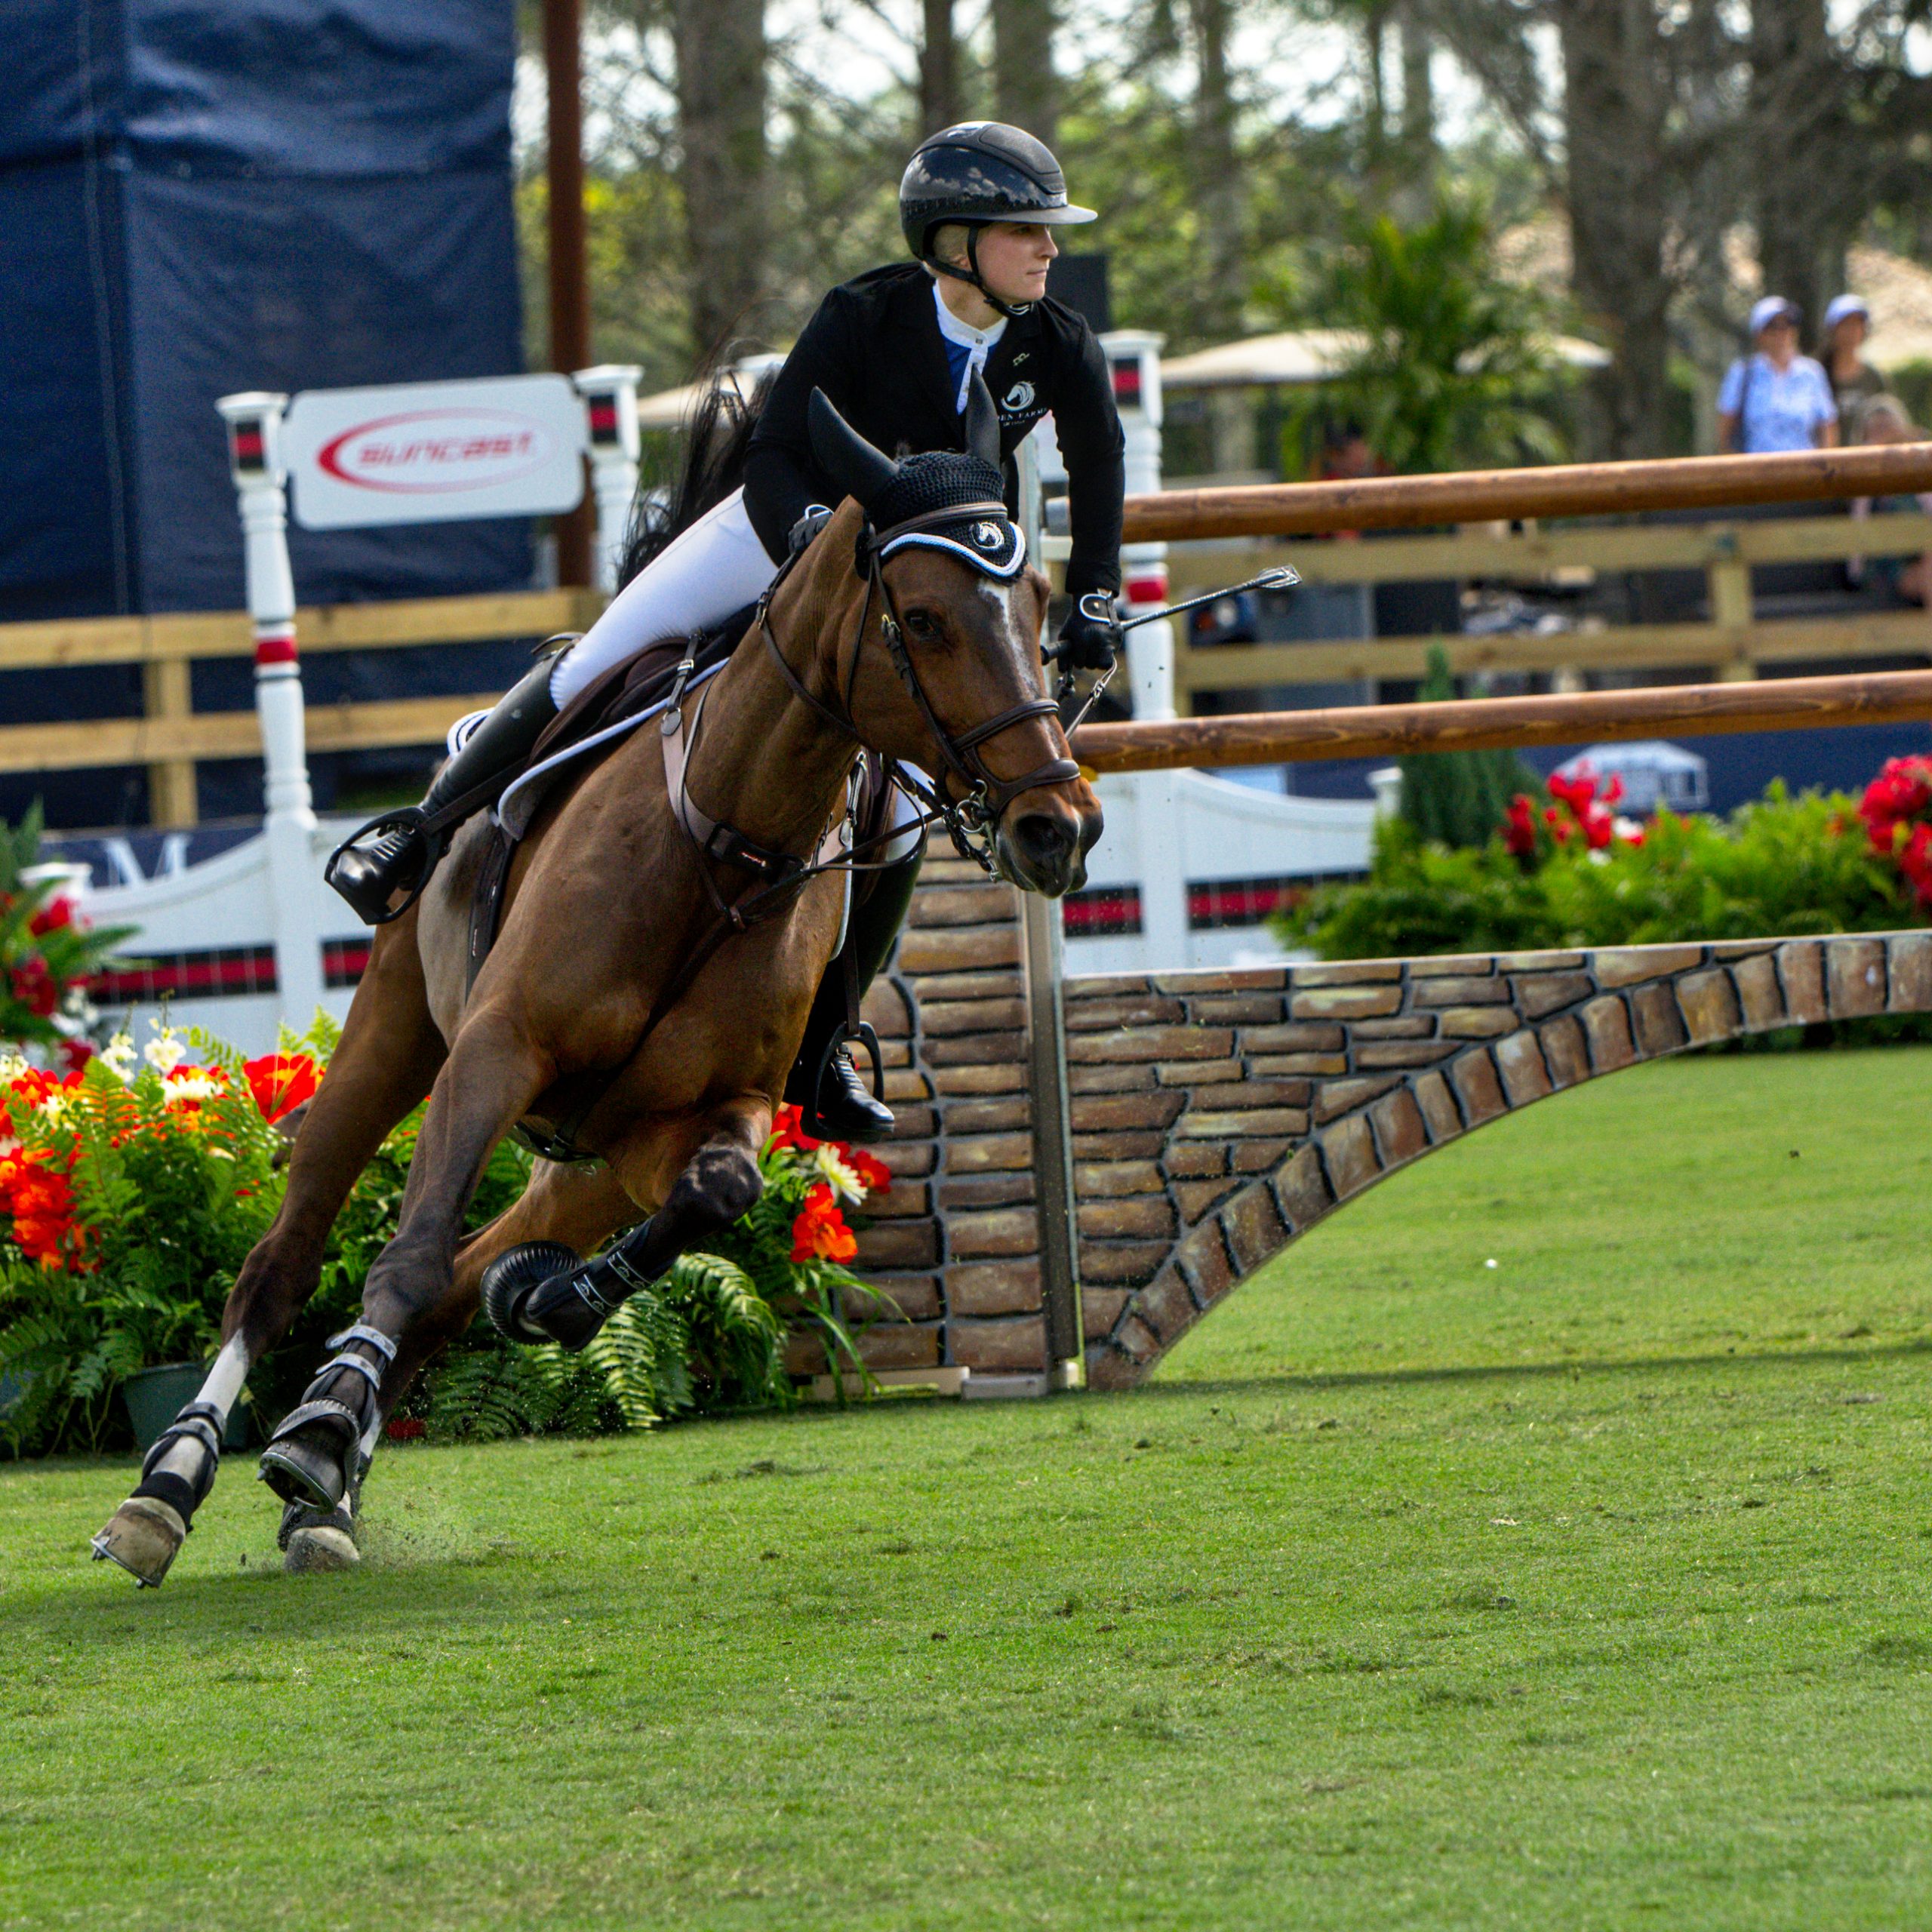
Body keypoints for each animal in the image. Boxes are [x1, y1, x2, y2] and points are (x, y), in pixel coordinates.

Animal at [94, 380, 1105, 1584]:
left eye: (1039, 606)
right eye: (923, 619)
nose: (1059, 826)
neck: (724, 846)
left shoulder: (694, 1118)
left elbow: (717, 1192)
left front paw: (545, 1300)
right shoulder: (497, 1051)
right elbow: (408, 1249)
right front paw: (315, 1422)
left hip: (587, 1165)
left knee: (455, 1286)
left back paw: (335, 1480)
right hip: (392, 1036)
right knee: (284, 1263)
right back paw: (173, 1482)